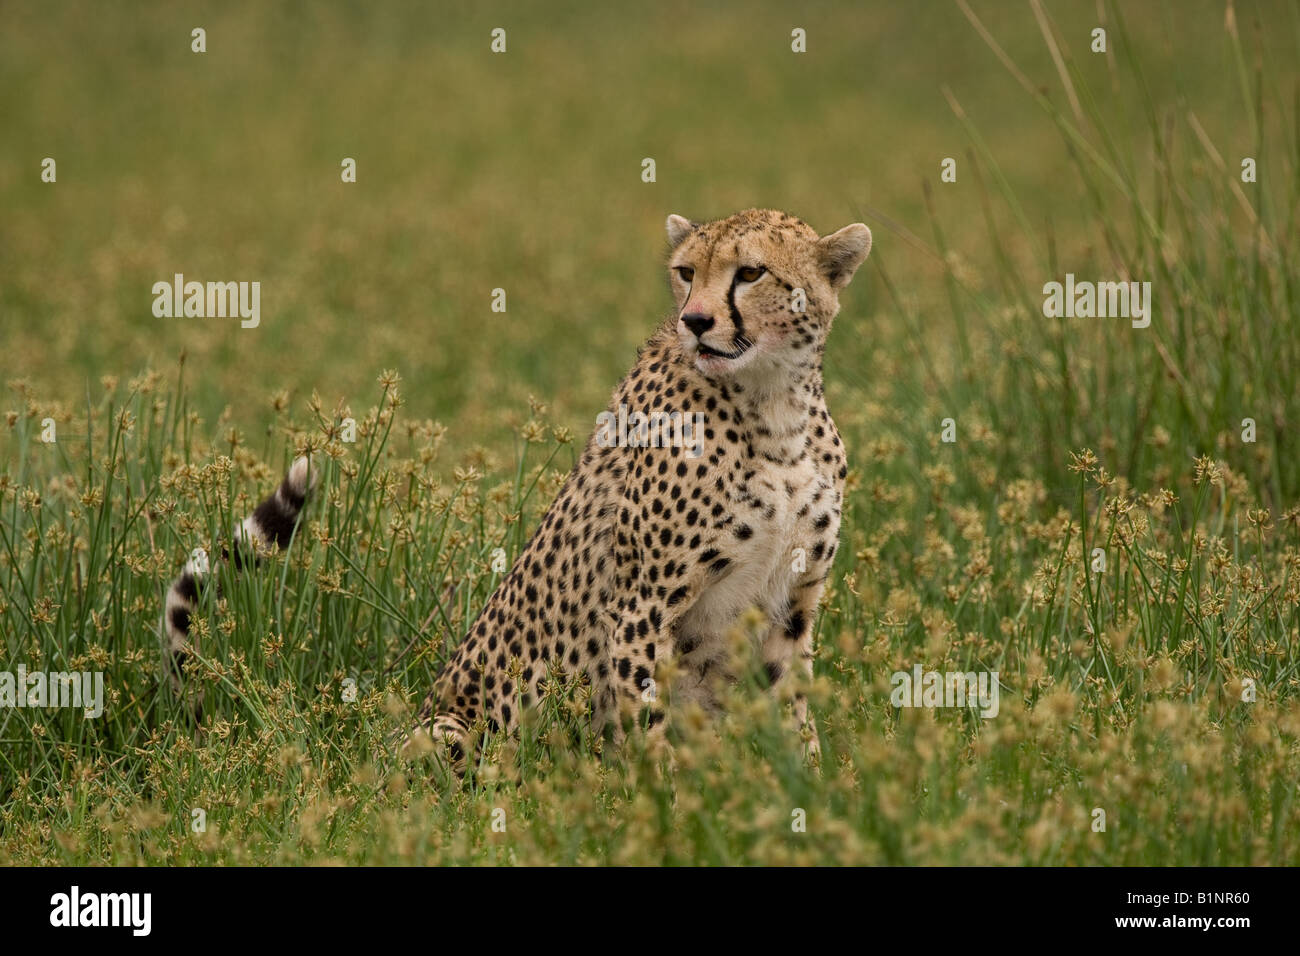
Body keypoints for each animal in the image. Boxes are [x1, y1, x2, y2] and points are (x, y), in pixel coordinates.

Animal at [410, 209, 868, 770]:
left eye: (751, 273)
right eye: (687, 272)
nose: (695, 322)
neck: (774, 408)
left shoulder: (792, 603)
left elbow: (794, 709)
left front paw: (811, 778)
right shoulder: (641, 606)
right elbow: (648, 719)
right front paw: (661, 790)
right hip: (441, 732)